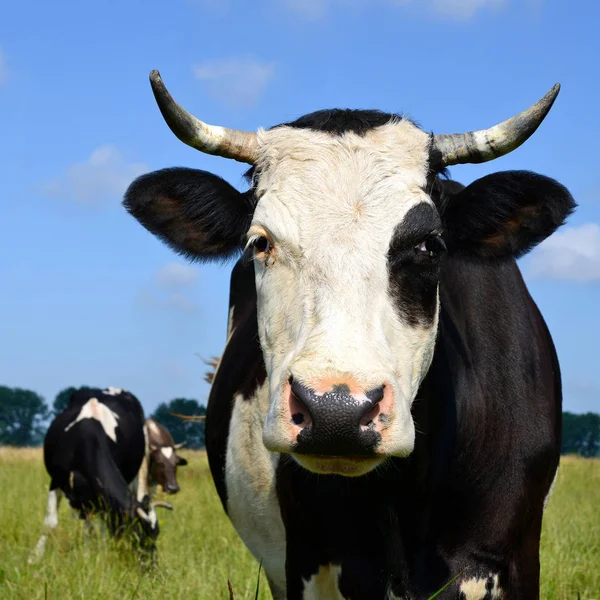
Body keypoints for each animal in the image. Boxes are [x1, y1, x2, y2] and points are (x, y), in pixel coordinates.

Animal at [30, 386, 170, 560]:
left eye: (156, 534)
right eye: (138, 535)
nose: (153, 564)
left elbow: (97, 529)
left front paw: (93, 556)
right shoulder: (57, 481)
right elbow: (51, 524)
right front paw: (34, 558)